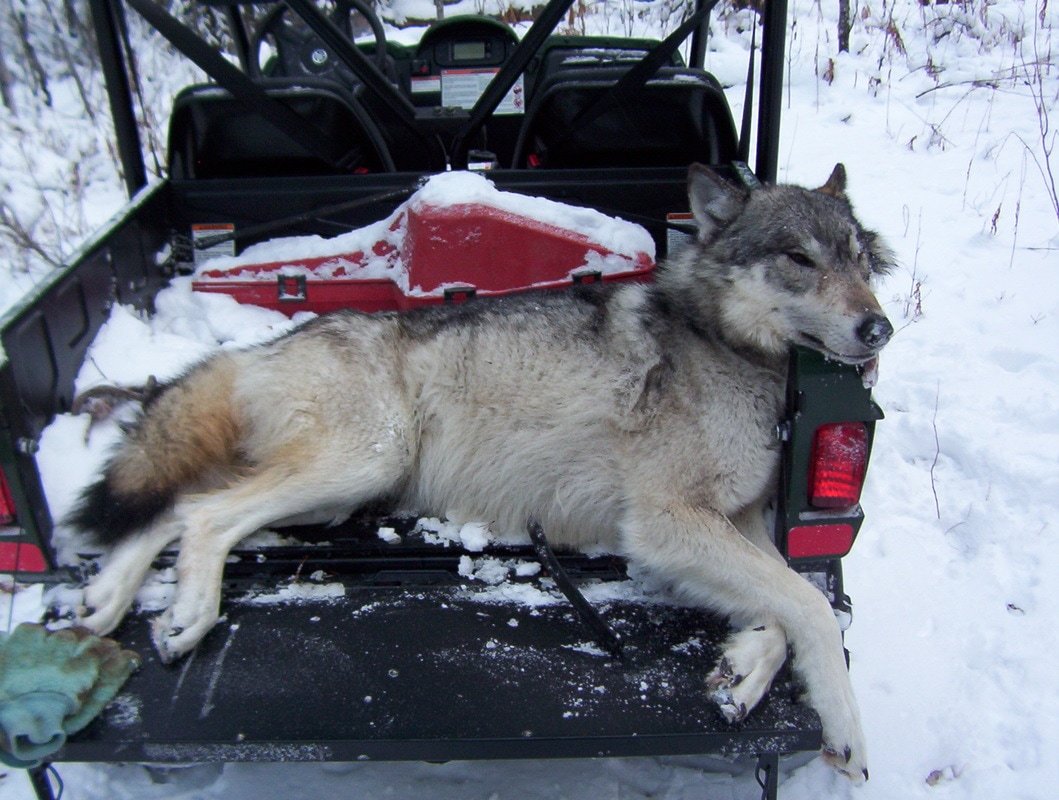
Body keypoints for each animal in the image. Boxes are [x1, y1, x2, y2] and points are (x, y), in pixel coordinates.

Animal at [70, 163, 893, 780]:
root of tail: (262, 347)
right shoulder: (664, 522)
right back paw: (185, 617)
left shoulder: (739, 515)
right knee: (202, 515)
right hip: (361, 463)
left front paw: (745, 667)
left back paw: (104, 603)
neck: (728, 349)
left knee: (178, 509)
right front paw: (848, 732)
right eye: (799, 259)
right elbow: (813, 606)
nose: (879, 327)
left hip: (335, 493)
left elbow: (790, 597)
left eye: (858, 259)